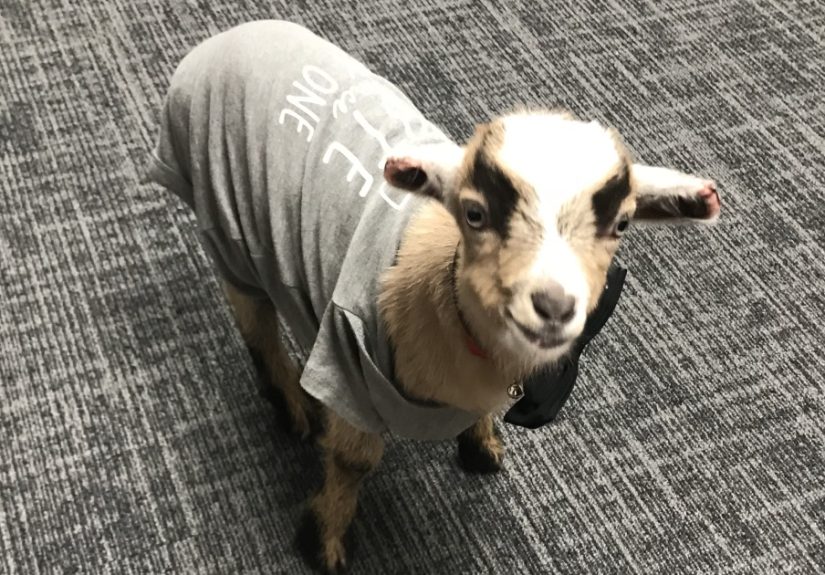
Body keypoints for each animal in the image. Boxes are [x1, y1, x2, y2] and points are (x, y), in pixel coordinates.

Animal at [149, 20, 721, 573]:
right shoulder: (345, 364)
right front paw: (325, 541)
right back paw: (292, 404)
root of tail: (220, 42)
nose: (554, 306)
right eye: (474, 213)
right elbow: (355, 458)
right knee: (255, 321)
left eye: (622, 223)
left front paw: (482, 444)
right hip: (226, 225)